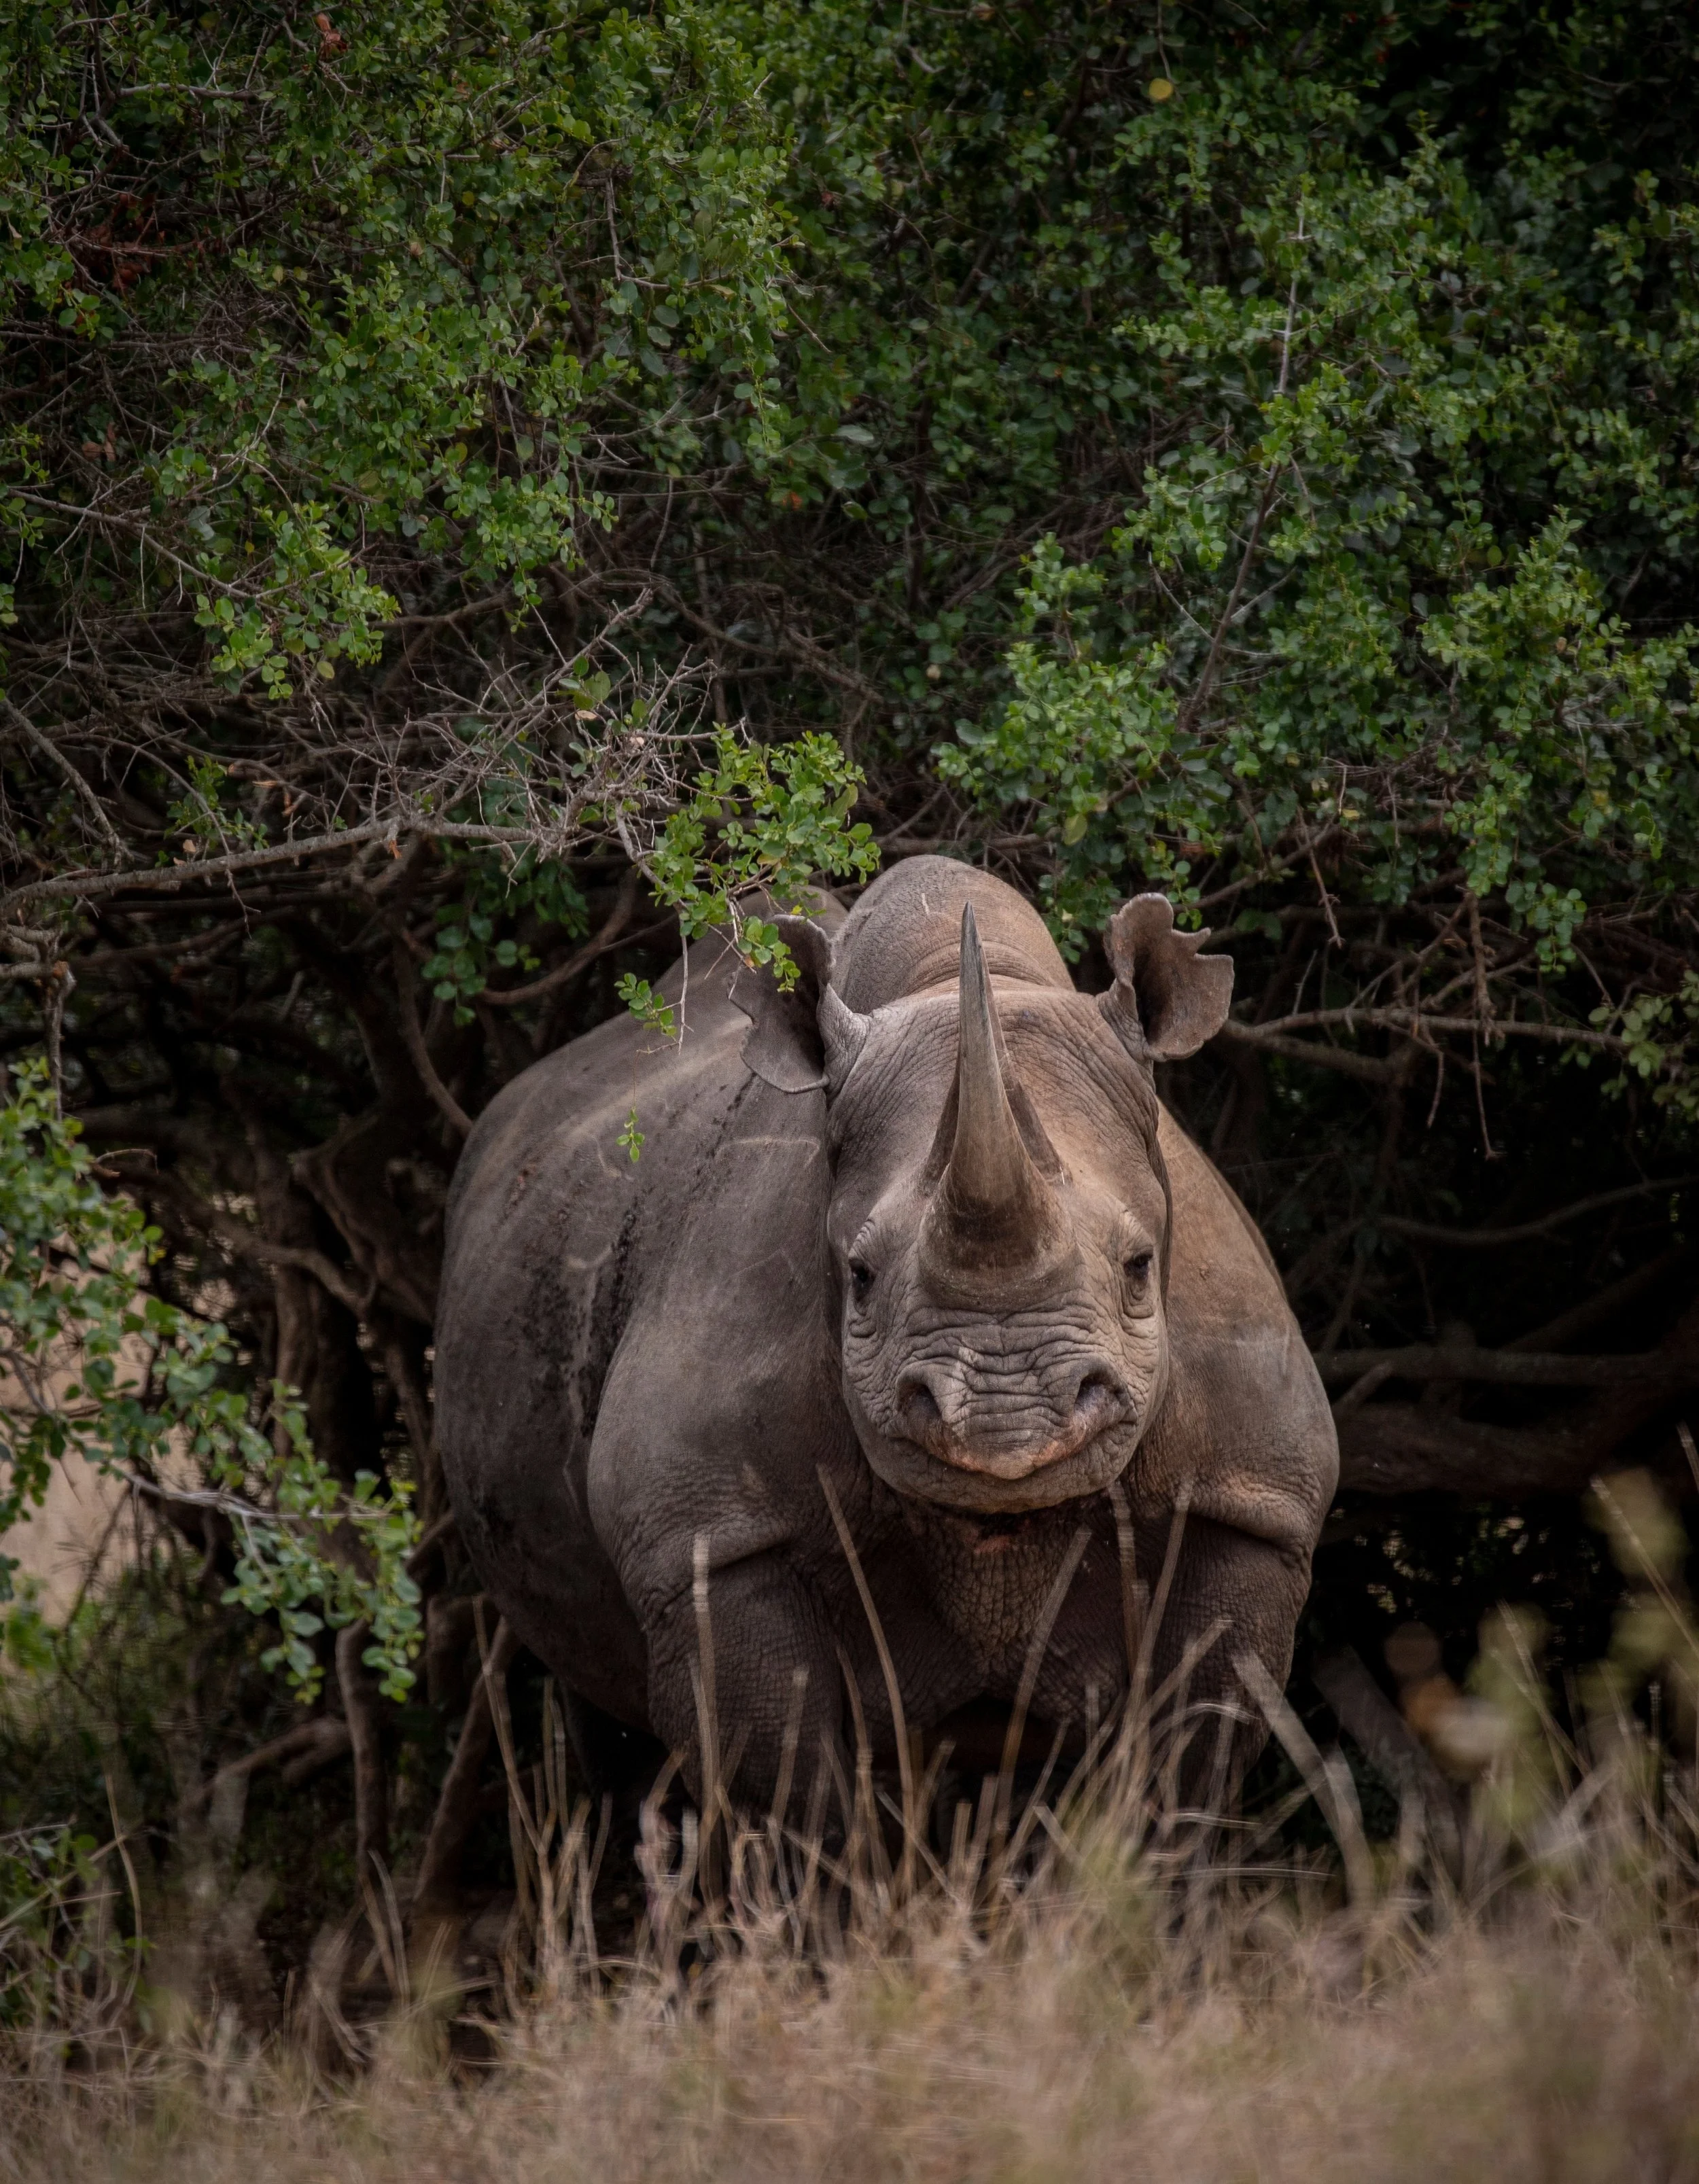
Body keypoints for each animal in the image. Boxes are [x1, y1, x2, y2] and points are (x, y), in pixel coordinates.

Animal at [434, 858, 1337, 1810]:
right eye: (859, 1275)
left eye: (1139, 1265)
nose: (1005, 1424)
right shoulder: (705, 1540)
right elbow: (784, 1792)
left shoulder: (1253, 1497)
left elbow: (1189, 1769)